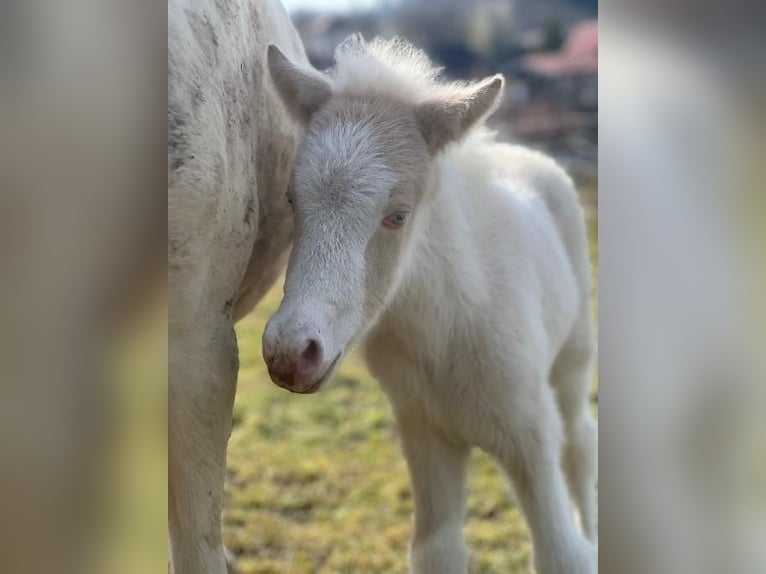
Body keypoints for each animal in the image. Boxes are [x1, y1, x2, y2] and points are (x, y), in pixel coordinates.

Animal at [262, 36, 598, 574]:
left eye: (398, 215)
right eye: (292, 200)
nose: (291, 352)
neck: (446, 330)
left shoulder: (530, 429)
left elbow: (562, 552)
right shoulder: (425, 433)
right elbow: (437, 550)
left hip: (573, 356)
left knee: (582, 443)